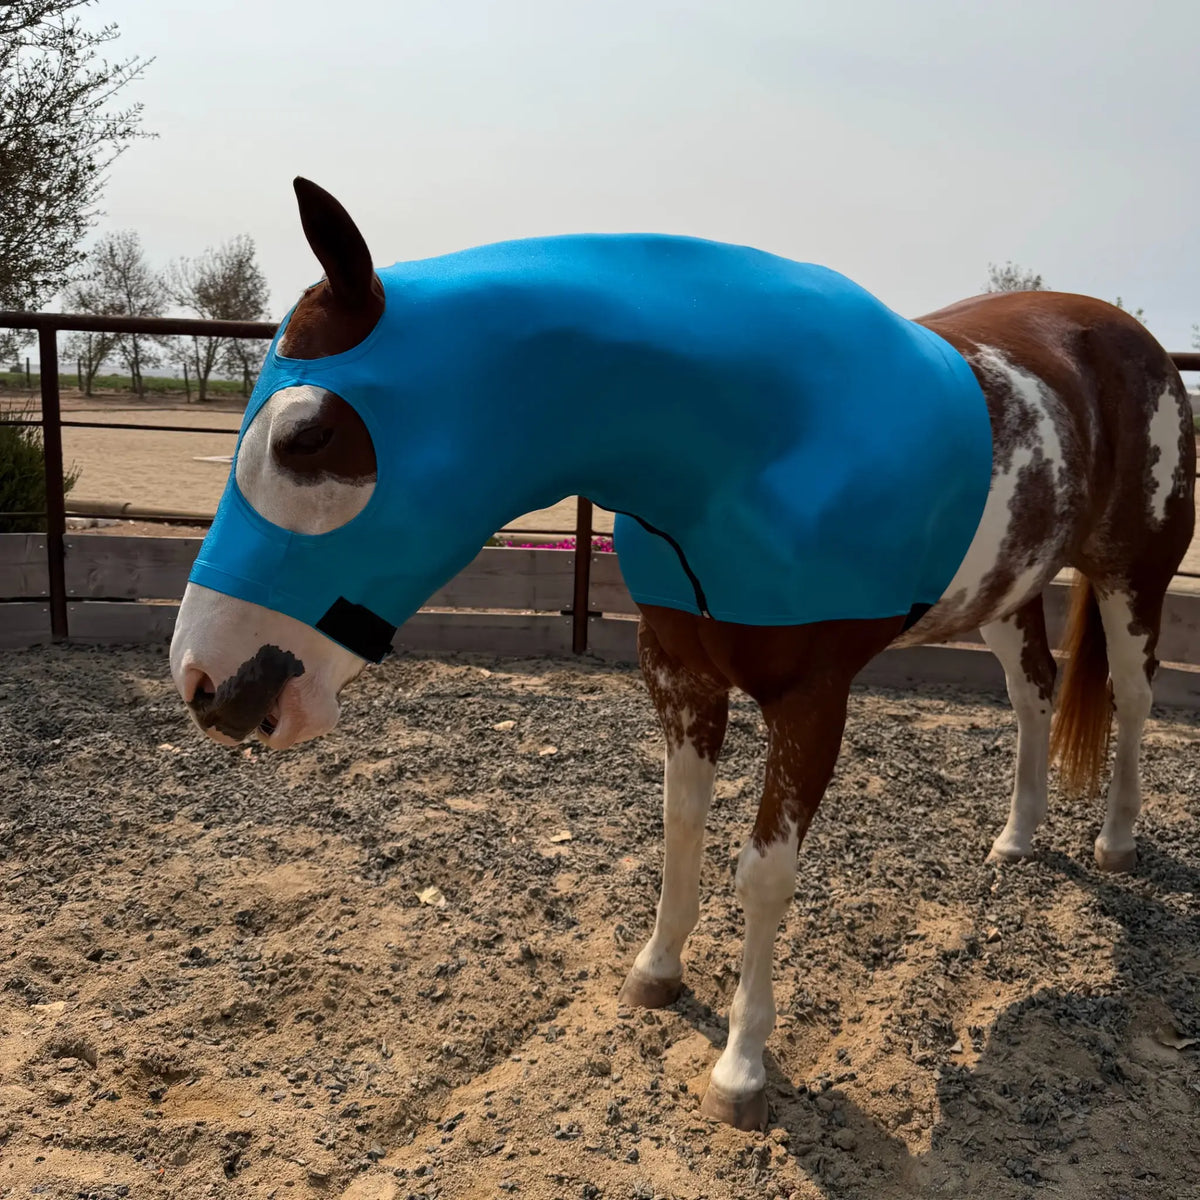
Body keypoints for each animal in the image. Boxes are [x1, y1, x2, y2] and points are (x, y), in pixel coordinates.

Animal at [169, 178, 1195, 1132]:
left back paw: (1114, 842)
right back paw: (1018, 837)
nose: (206, 682)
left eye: (308, 435)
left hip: (1131, 577)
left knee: (1134, 698)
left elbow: (765, 872)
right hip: (1008, 594)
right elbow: (679, 827)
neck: (752, 437)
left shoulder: (812, 699)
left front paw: (741, 1068)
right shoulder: (681, 674)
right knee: (1033, 696)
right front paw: (657, 973)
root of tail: (1128, 341)